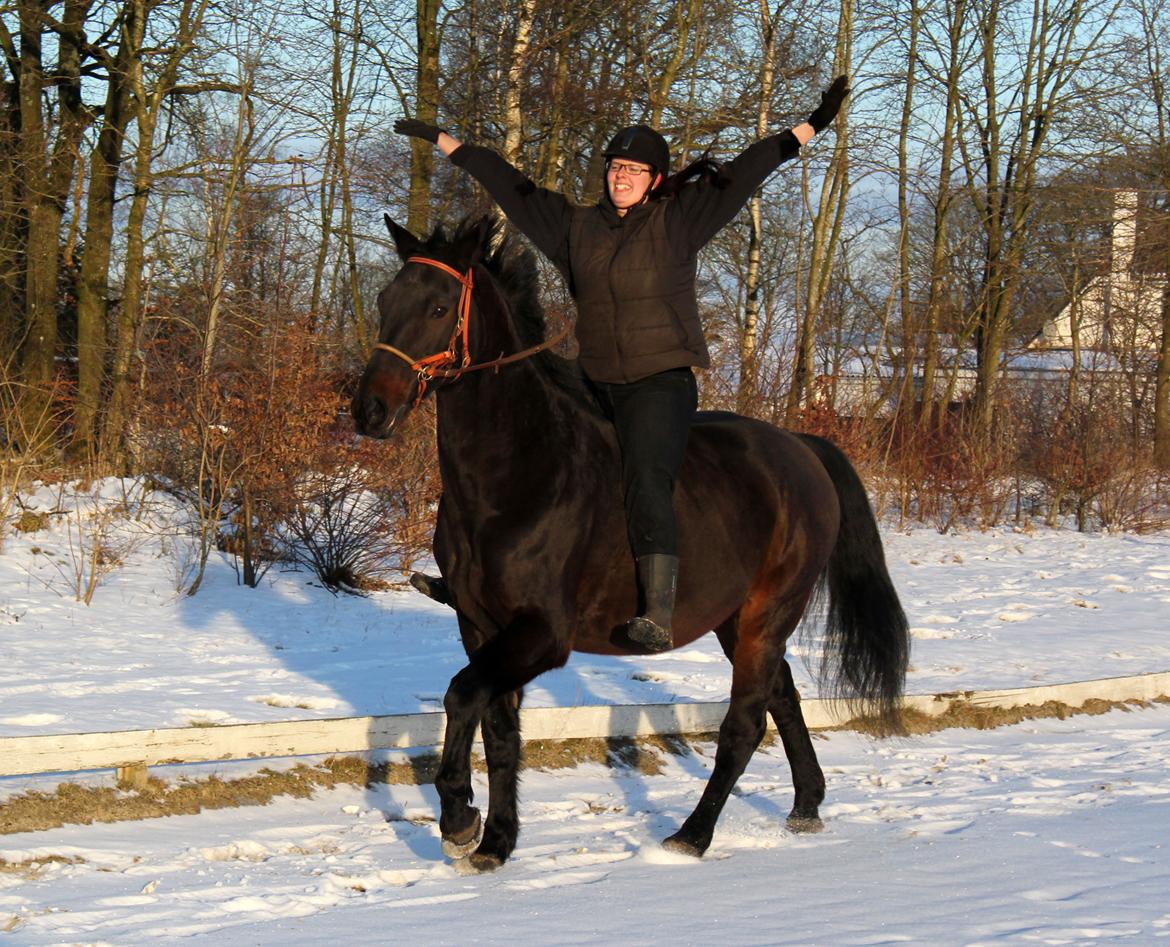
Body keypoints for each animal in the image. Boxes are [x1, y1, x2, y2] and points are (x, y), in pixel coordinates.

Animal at [351, 214, 907, 870]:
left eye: (439, 307)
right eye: (385, 300)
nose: (369, 410)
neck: (515, 477)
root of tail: (801, 448)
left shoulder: (542, 634)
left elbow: (462, 696)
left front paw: (460, 819)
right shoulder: (481, 626)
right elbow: (500, 729)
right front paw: (496, 841)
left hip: (768, 615)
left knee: (744, 725)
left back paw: (692, 835)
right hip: (735, 621)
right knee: (784, 696)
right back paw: (806, 805)